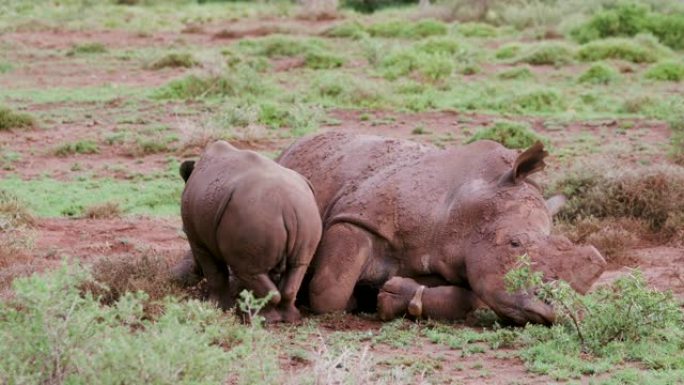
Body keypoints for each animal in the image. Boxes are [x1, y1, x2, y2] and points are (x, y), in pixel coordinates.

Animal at [179, 141, 324, 320]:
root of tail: (288, 207)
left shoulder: (197, 240)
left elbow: (214, 273)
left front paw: (215, 307)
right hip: (305, 212)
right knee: (297, 266)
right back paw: (290, 318)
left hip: (253, 215)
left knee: (248, 270)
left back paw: (262, 318)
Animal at [278, 132, 604, 324]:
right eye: (514, 243)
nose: (551, 311)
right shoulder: (356, 218)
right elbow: (329, 288)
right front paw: (356, 298)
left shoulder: (472, 261)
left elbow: (468, 298)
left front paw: (389, 295)